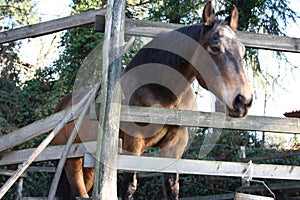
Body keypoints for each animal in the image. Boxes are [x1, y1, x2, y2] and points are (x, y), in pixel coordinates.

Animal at [51, 1, 253, 200]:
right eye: (215, 47)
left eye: (242, 50)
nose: (243, 100)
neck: (161, 93)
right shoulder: (133, 145)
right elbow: (129, 187)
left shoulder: (174, 147)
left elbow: (172, 187)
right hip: (72, 162)